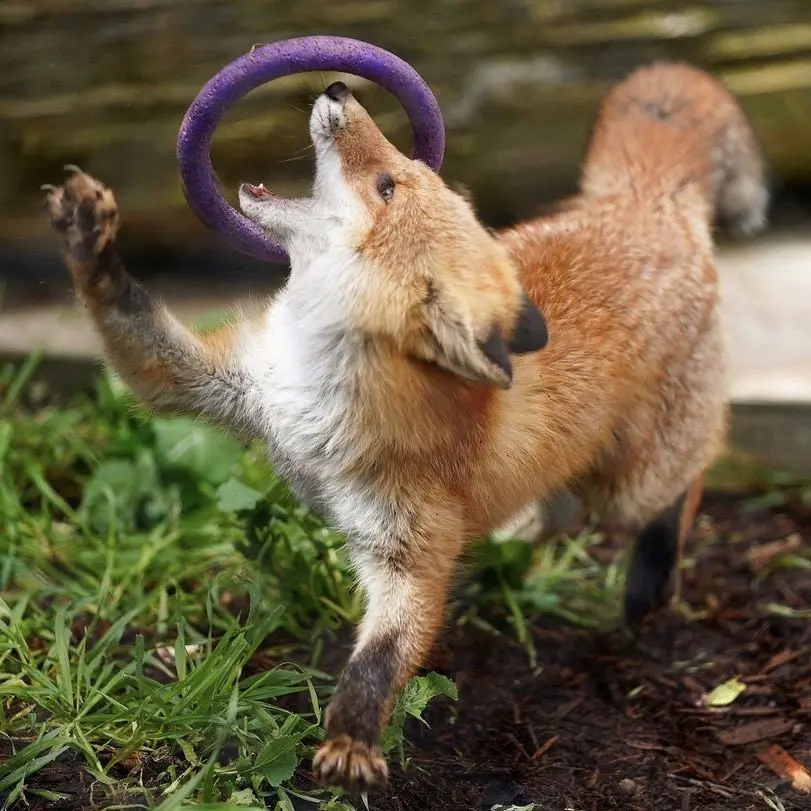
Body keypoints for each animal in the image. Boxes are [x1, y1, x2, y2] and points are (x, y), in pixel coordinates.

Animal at [43, 61, 767, 794]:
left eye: (387, 185)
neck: (316, 398)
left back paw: (650, 577)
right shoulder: (221, 382)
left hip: (632, 482)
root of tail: (641, 207)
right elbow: (132, 326)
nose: (338, 87)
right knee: (557, 511)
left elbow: (382, 656)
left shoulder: (407, 548)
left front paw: (351, 739)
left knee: (683, 479)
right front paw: (88, 240)